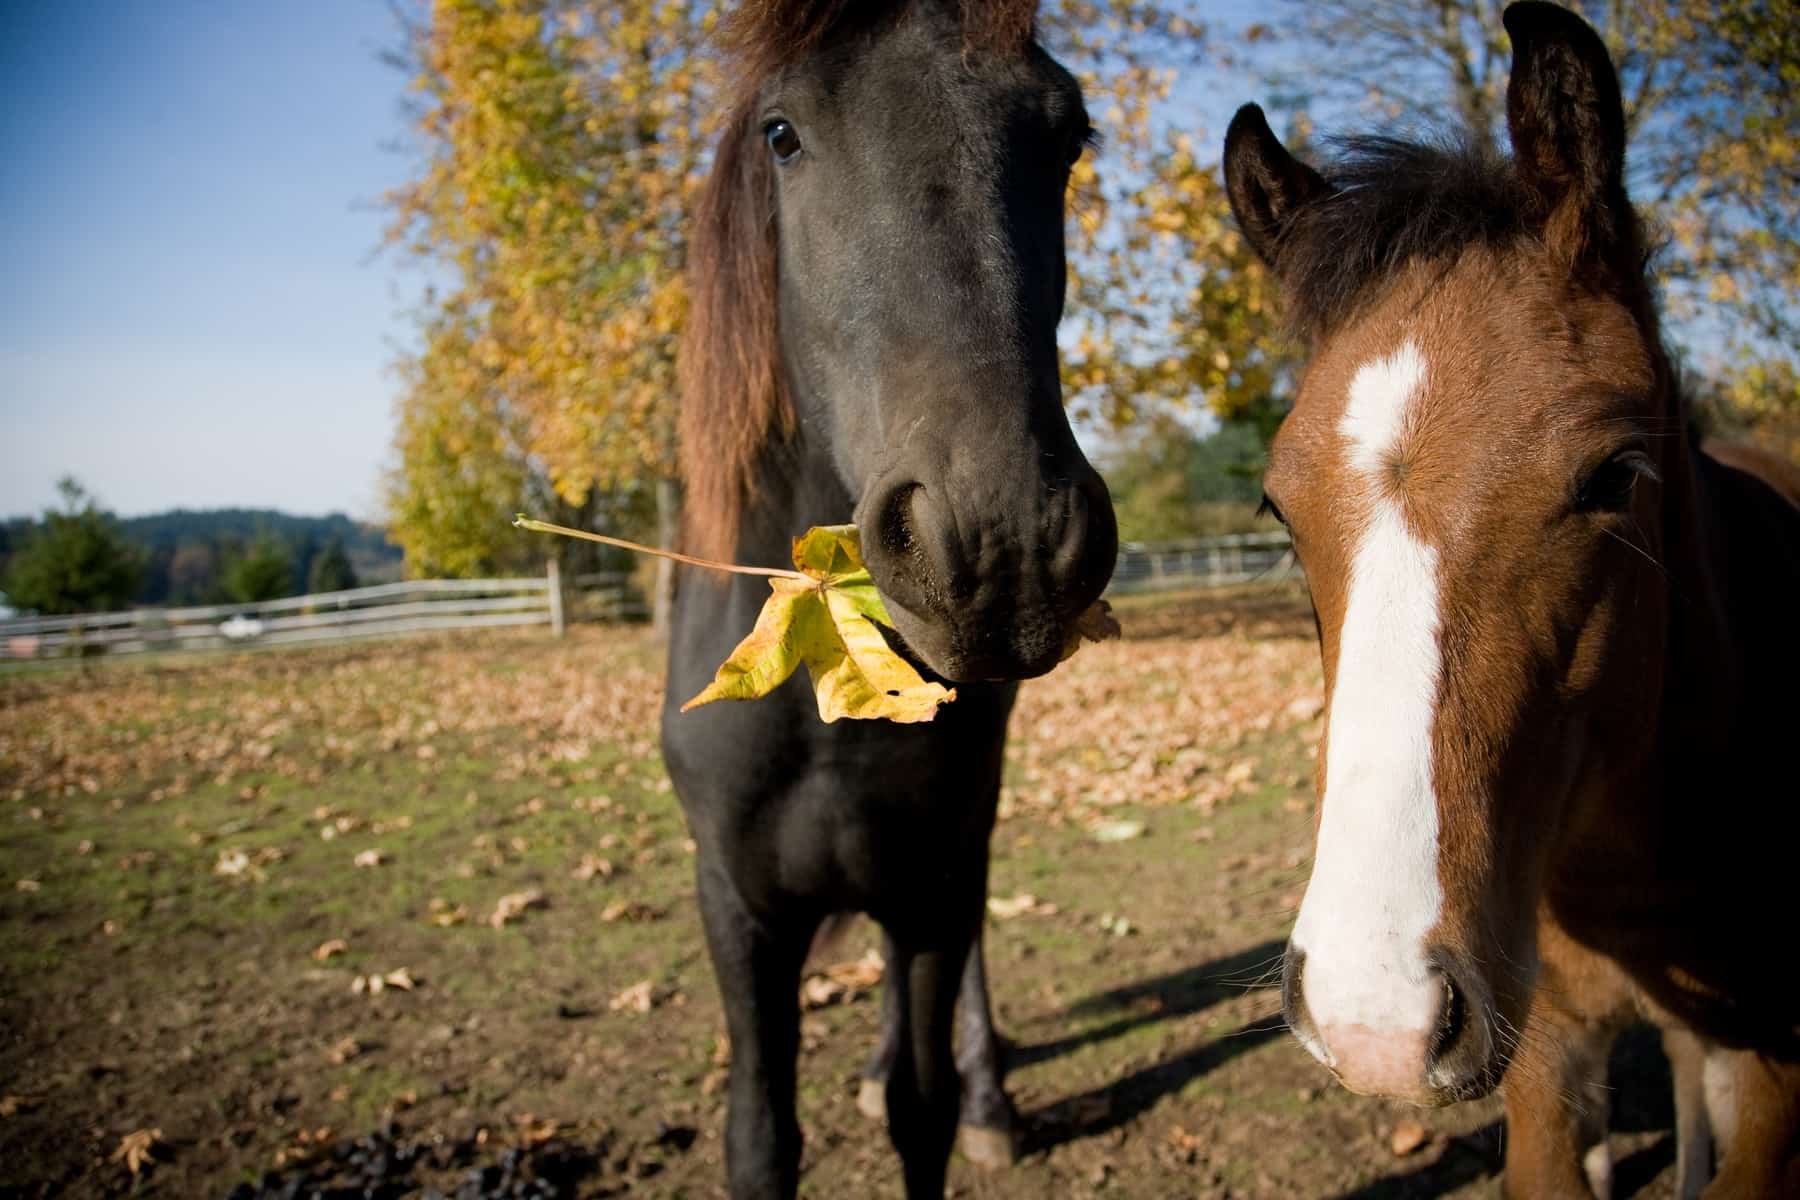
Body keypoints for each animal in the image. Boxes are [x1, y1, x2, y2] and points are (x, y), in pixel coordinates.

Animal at [655, 4, 1116, 1194]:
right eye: (781, 134)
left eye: (1067, 135)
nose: (1002, 541)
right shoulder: (738, 910)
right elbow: (762, 1137)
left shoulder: (932, 890)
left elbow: (924, 1108)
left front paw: (964, 1101)